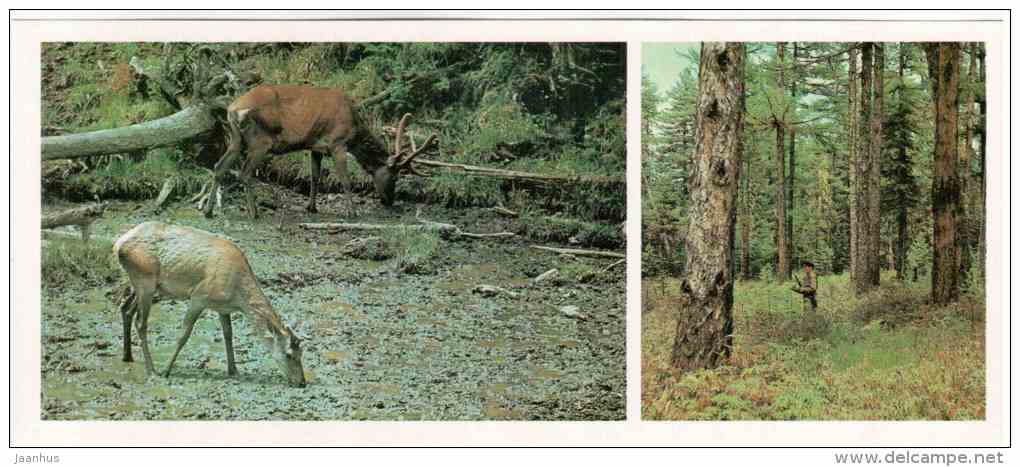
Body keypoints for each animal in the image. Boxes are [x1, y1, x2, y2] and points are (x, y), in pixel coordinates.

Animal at [114, 221, 306, 387]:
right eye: (289, 354)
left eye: (302, 353)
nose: (302, 382)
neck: (237, 296)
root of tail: (118, 245)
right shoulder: (199, 297)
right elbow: (184, 335)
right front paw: (166, 371)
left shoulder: (223, 308)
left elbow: (228, 334)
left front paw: (233, 370)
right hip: (145, 281)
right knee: (141, 322)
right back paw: (152, 370)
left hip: (138, 283)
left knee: (126, 309)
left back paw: (127, 356)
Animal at [201, 84, 434, 219]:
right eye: (394, 176)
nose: (389, 201)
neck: (354, 125)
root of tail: (233, 109)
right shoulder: (337, 143)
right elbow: (345, 179)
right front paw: (352, 212)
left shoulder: (316, 147)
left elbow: (315, 177)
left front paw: (311, 207)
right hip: (261, 141)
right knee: (245, 172)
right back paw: (254, 212)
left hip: (236, 138)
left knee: (219, 166)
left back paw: (208, 210)